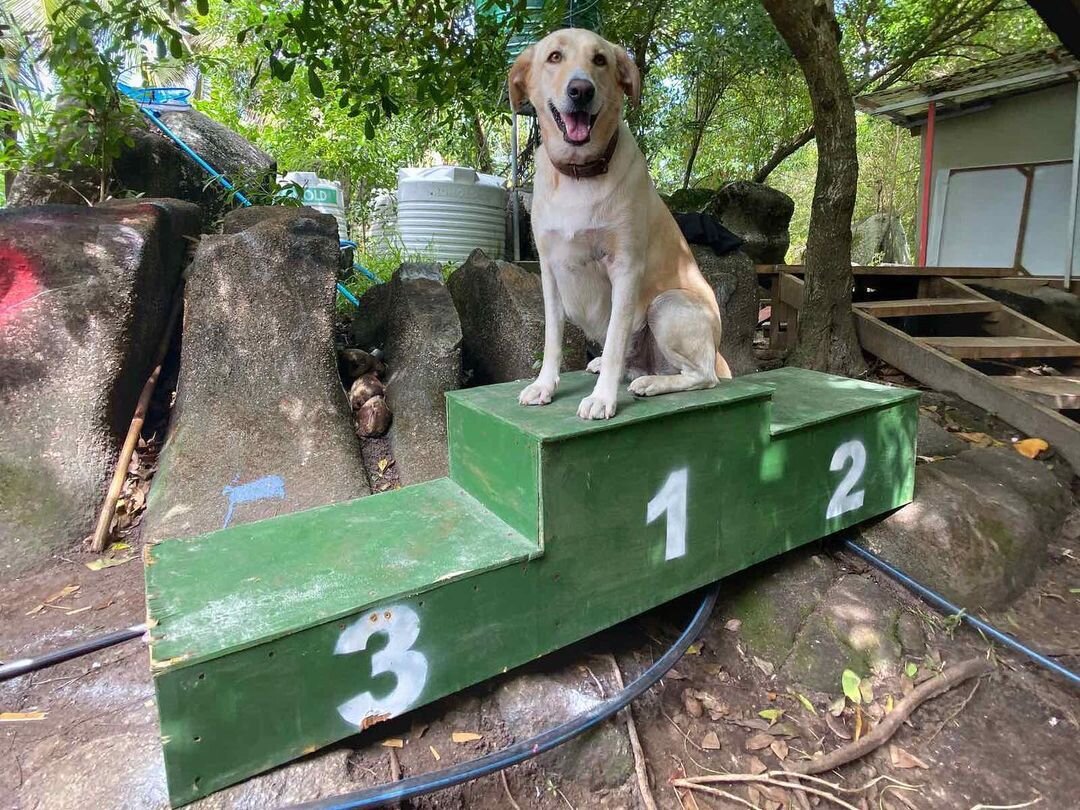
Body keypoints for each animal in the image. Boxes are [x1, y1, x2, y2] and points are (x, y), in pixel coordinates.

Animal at [509, 27, 730, 419]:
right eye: (554, 57)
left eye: (600, 60)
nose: (581, 90)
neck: (579, 174)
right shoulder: (549, 270)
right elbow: (552, 339)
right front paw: (544, 385)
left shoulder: (625, 269)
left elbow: (614, 339)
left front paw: (602, 398)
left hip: (667, 305)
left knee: (702, 376)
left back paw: (652, 382)